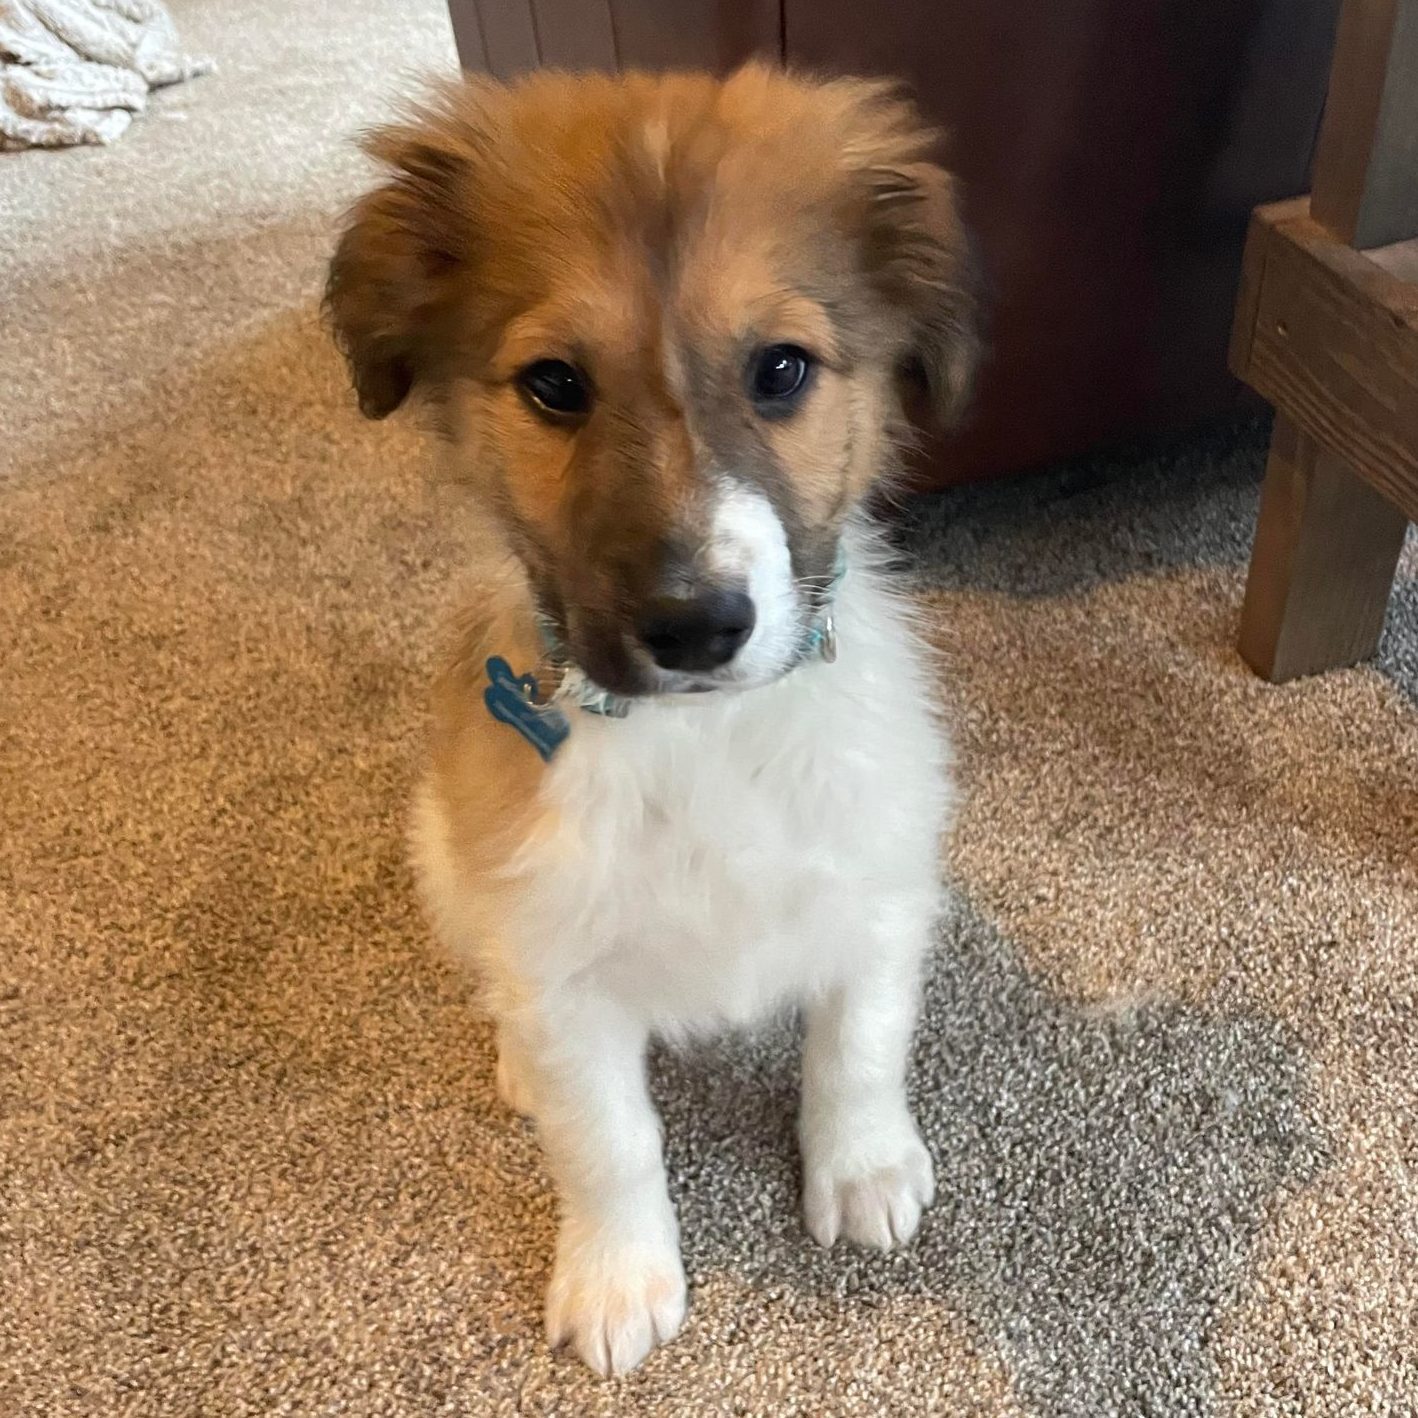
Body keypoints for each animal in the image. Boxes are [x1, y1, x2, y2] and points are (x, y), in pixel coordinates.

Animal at [326, 63, 981, 1372]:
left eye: (779, 369)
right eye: (554, 384)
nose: (693, 624)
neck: (702, 739)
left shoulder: (879, 884)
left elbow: (857, 1047)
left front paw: (862, 1168)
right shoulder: (558, 959)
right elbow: (609, 1141)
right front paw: (618, 1274)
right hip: (442, 857)